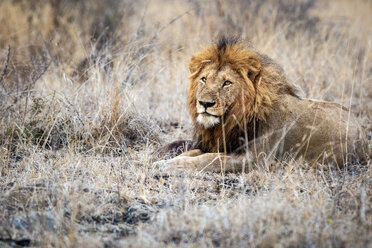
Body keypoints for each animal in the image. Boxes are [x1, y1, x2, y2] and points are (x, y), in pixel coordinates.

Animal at [155, 36, 370, 172]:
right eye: (204, 79)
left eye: (227, 83)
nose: (205, 103)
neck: (232, 119)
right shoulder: (223, 144)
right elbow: (194, 152)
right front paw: (167, 161)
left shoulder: (254, 159)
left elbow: (210, 160)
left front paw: (171, 166)